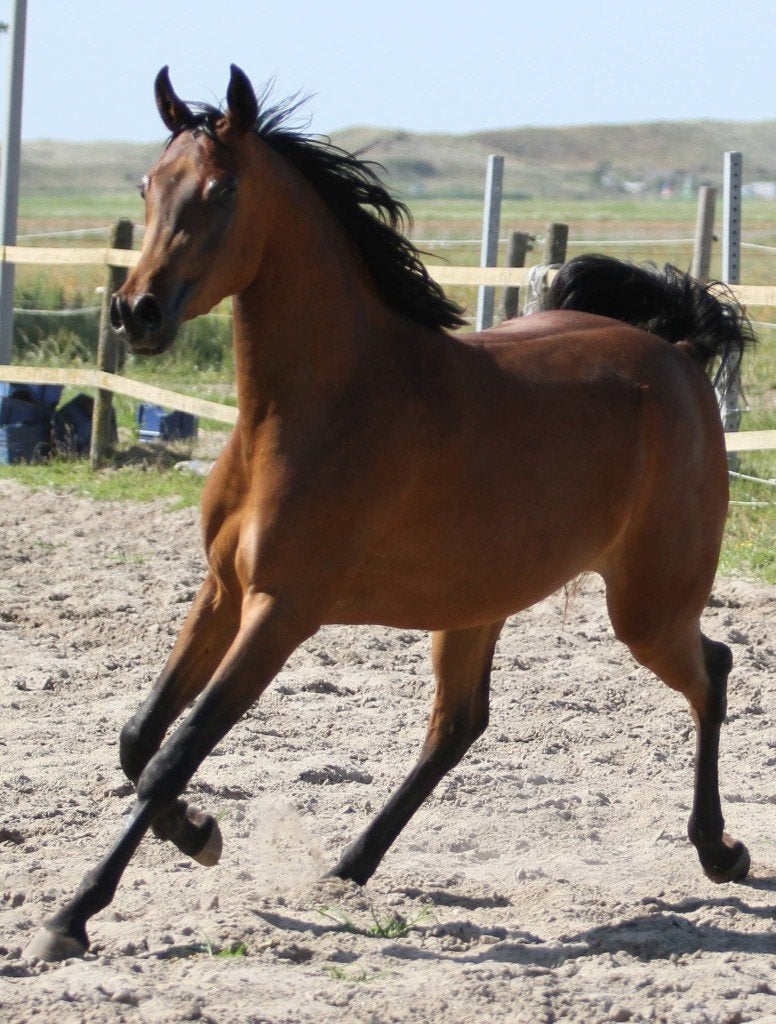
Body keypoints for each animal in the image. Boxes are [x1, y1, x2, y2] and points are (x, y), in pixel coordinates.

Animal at [25, 65, 755, 961]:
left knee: (712, 669)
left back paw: (721, 850)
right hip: (477, 602)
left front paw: (72, 915)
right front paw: (197, 833)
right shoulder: (224, 591)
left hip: (646, 605)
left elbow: (178, 751)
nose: (138, 312)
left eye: (223, 190)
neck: (317, 408)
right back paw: (350, 864)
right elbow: (139, 737)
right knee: (458, 725)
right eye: (148, 185)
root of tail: (678, 354)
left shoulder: (283, 609)